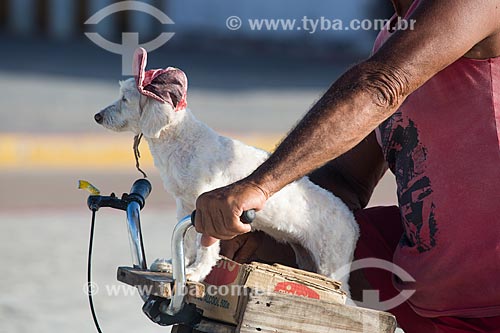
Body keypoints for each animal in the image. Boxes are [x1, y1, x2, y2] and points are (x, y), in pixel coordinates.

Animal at [94, 47, 360, 296]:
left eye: (124, 99)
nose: (97, 116)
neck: (180, 140)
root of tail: (352, 222)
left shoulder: (207, 211)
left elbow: (206, 248)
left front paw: (195, 272)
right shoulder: (186, 205)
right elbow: (186, 242)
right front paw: (175, 266)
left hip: (332, 264)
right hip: (308, 259)